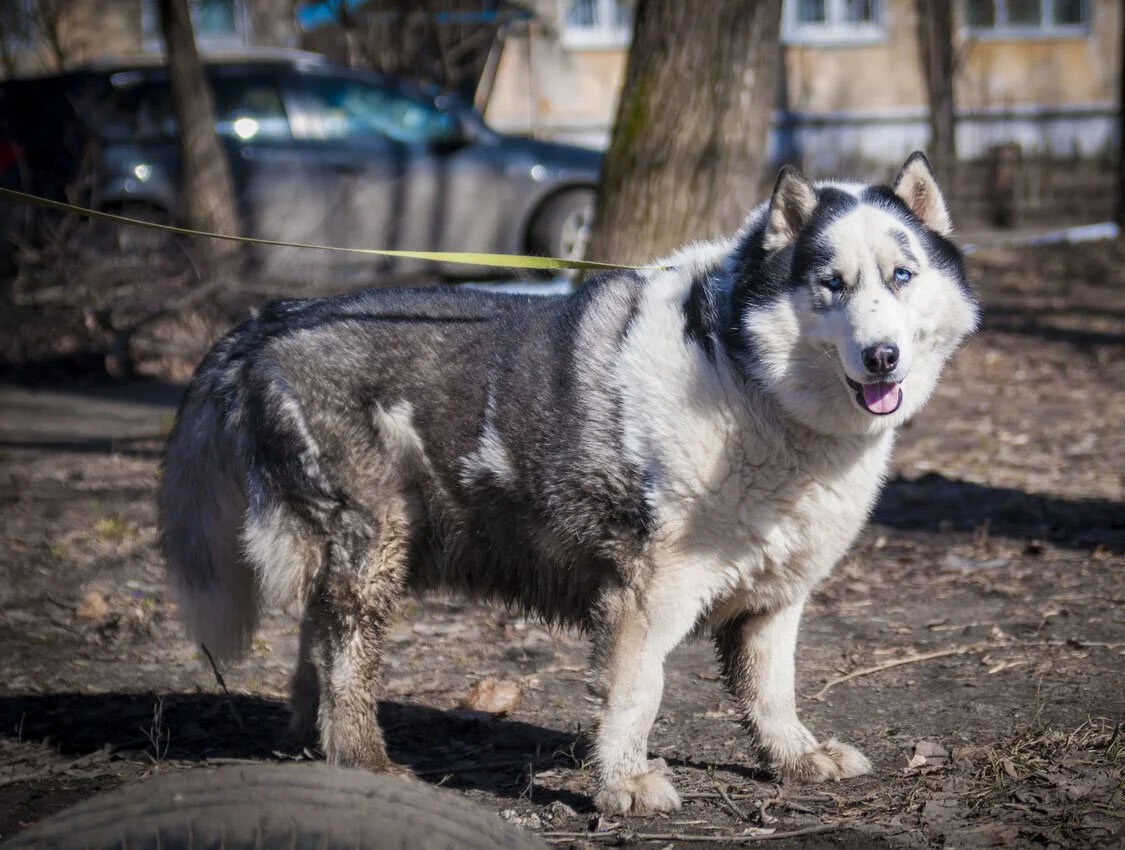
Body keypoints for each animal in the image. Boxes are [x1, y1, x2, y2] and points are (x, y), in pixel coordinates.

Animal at [163, 154, 981, 818]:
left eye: (902, 276)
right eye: (830, 284)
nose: (882, 356)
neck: (742, 373)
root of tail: (270, 320)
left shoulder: (776, 599)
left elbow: (772, 688)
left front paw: (795, 759)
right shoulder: (647, 595)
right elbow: (637, 694)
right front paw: (625, 785)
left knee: (316, 641)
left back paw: (313, 743)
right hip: (376, 543)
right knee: (343, 659)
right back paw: (364, 760)